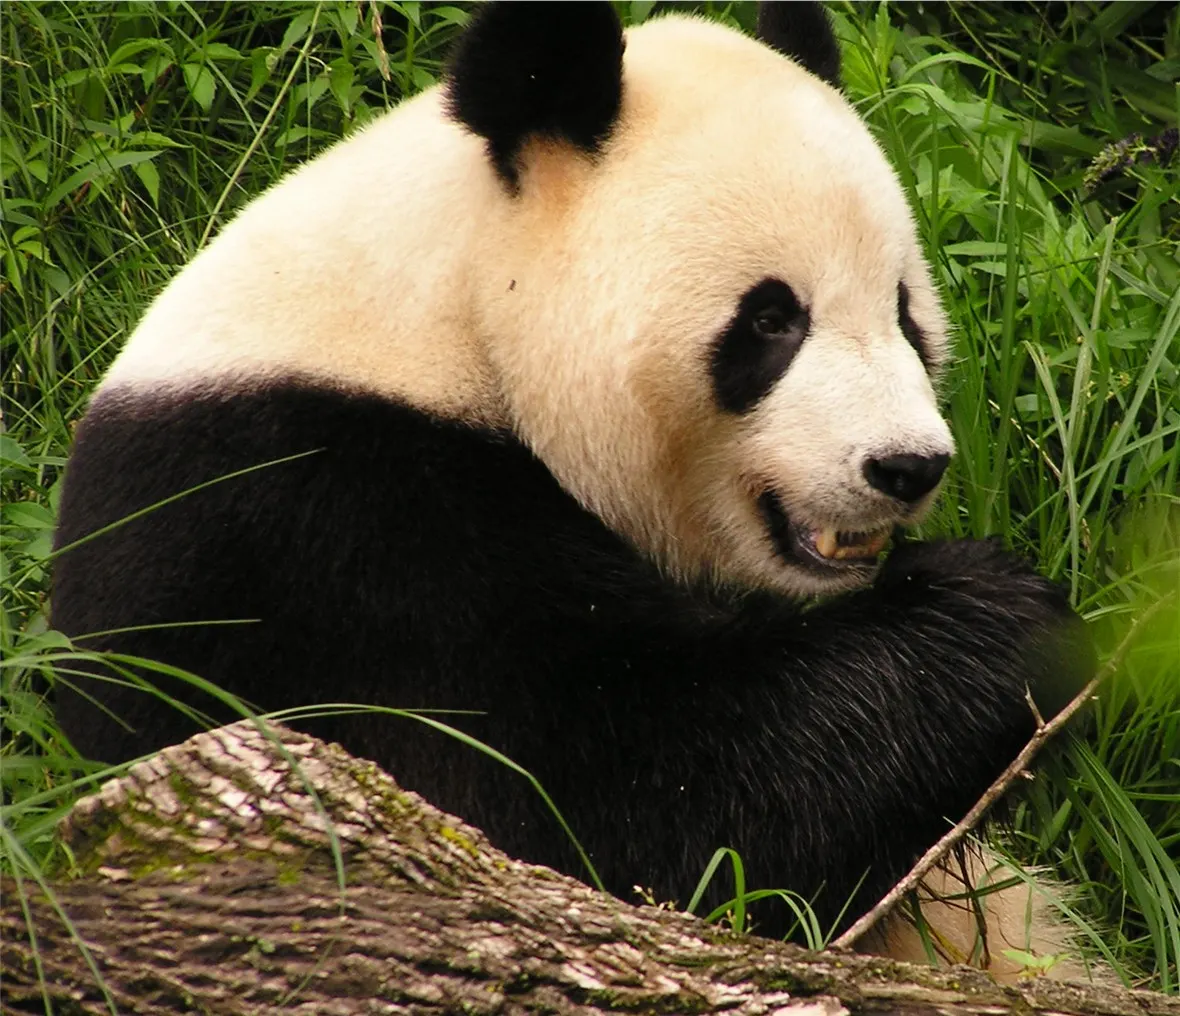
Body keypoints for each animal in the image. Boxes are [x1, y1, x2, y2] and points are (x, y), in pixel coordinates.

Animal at [52, 1, 1092, 976]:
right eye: (770, 320)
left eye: (906, 313)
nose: (906, 466)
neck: (455, 314)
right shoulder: (320, 528)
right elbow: (600, 797)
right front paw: (996, 617)